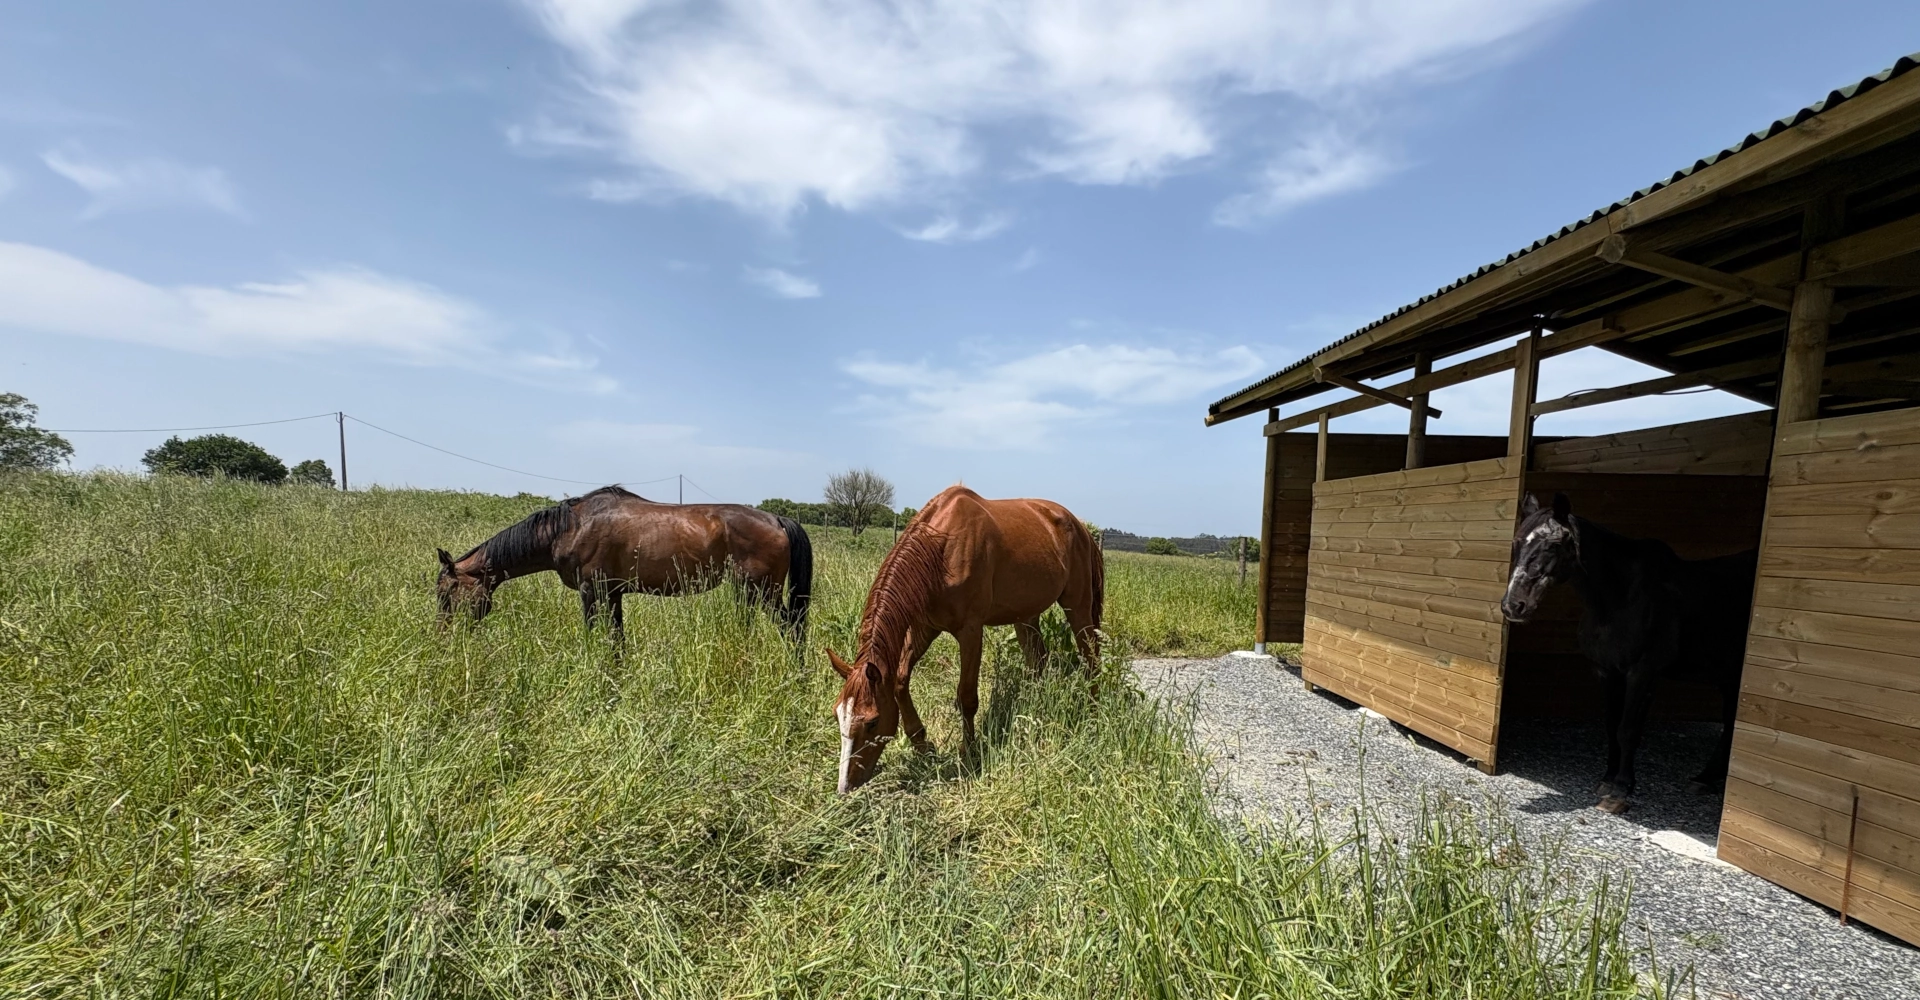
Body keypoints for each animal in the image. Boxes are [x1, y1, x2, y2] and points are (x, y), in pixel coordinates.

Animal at [435, 485, 812, 642]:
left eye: (446, 592)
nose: (442, 637)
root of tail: (777, 519)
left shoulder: (591, 592)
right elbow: (618, 640)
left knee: (791, 626)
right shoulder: (613, 593)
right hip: (748, 592)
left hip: (762, 590)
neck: (569, 528)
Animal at [826, 485, 1103, 794]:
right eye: (838, 715)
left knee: (1091, 658)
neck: (941, 549)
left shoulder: (970, 631)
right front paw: (922, 744)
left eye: (873, 722)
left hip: (1077, 605)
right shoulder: (924, 627)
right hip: (1026, 614)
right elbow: (899, 680)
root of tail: (1079, 525)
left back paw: (1092, 713)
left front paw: (968, 752)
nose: (845, 786)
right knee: (1038, 660)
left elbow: (966, 697)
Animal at [1500, 492, 1756, 814]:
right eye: (1517, 542)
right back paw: (1705, 779)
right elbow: (1611, 724)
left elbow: (1628, 729)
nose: (1513, 606)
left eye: (1555, 544)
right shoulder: (1606, 671)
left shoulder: (1641, 673)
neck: (1618, 600)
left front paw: (1621, 788)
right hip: (1729, 677)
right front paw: (1607, 779)